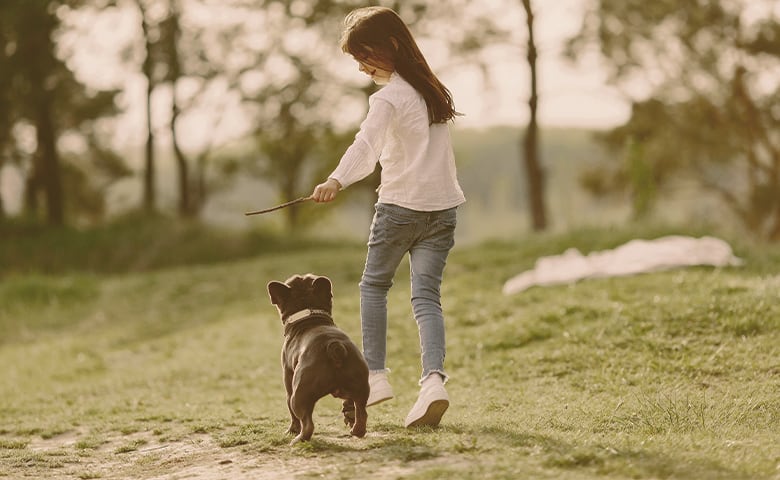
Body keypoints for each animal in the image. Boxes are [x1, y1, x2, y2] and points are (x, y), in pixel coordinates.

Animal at [266, 272, 368, 444]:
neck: (308, 315)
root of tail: (334, 347)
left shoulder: (288, 380)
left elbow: (293, 416)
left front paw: (291, 431)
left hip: (299, 396)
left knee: (306, 423)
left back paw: (297, 440)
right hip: (361, 386)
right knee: (361, 412)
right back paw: (356, 430)